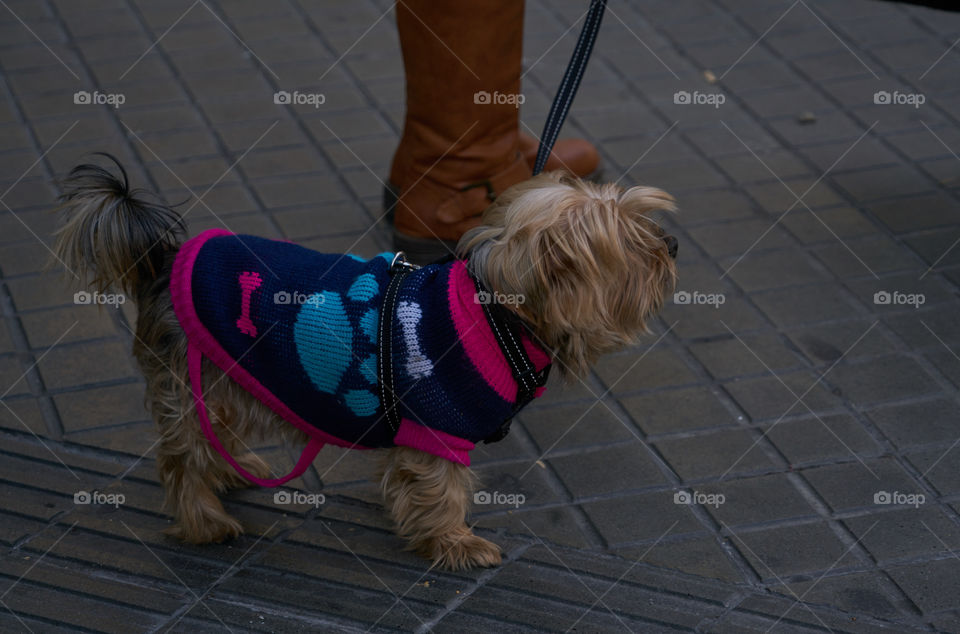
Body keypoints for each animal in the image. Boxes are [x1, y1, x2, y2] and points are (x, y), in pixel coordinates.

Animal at [52, 156, 676, 572]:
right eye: (635, 244)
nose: (670, 245)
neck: (498, 313)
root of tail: (162, 261)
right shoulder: (438, 429)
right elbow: (444, 490)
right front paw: (456, 544)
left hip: (224, 381)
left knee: (208, 439)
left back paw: (230, 471)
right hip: (200, 379)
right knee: (181, 460)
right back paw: (205, 522)